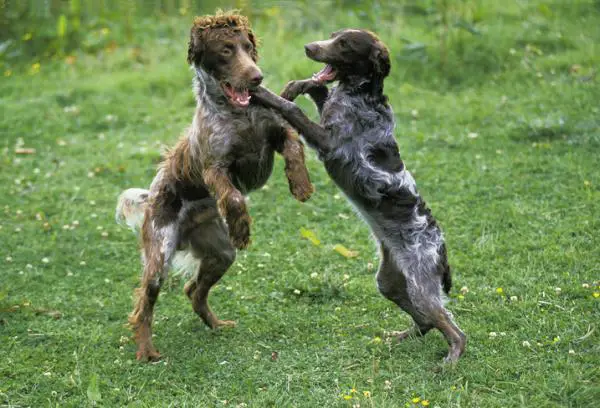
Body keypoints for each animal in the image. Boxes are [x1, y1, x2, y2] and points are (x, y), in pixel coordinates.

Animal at [116, 10, 314, 360]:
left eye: (247, 47)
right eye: (225, 50)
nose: (257, 78)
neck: (239, 113)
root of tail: (152, 196)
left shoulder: (278, 132)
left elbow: (293, 149)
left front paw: (300, 185)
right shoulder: (215, 168)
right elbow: (233, 197)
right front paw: (242, 227)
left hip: (221, 253)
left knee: (193, 290)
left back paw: (216, 324)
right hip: (159, 258)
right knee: (144, 307)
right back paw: (146, 351)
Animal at [251, 28, 466, 362]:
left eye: (344, 44)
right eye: (332, 35)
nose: (309, 47)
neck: (361, 95)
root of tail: (441, 250)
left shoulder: (330, 142)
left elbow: (293, 108)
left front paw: (264, 93)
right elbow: (317, 89)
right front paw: (297, 85)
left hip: (421, 288)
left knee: (454, 330)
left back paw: (451, 359)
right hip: (389, 282)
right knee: (426, 322)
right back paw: (399, 337)